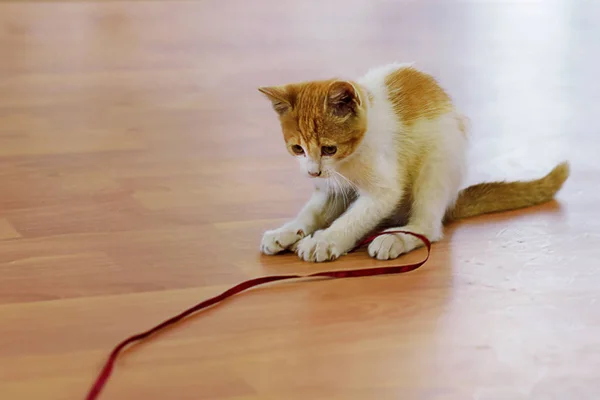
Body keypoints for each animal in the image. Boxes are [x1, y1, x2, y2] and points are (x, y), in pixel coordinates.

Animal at [255, 61, 568, 262]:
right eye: (297, 148)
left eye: (329, 148)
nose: (312, 172)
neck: (347, 163)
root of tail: (452, 201)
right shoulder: (331, 187)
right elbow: (313, 211)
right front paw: (289, 230)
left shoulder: (384, 188)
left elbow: (357, 216)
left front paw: (326, 240)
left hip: (438, 161)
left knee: (429, 227)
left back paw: (397, 237)